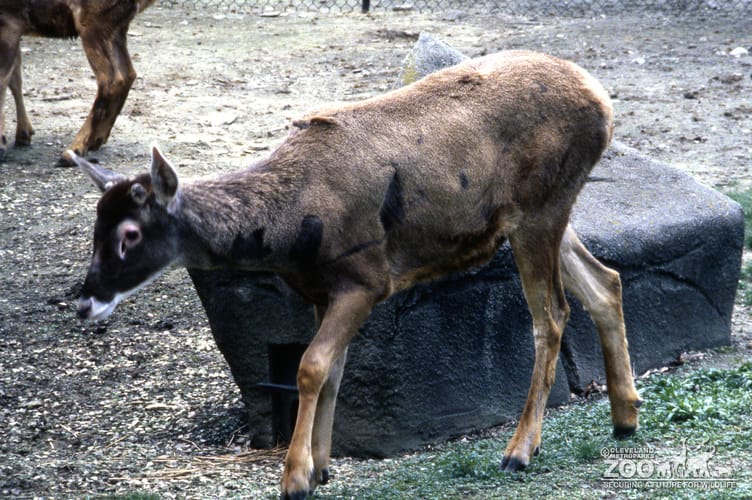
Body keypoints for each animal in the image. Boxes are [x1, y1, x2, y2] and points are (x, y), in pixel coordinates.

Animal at [0, 0, 155, 166]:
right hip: (115, 26)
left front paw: (3, 143)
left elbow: (4, 80)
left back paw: (73, 150)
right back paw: (96, 139)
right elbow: (15, 78)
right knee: (128, 73)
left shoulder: (9, 22)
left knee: (110, 79)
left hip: (94, 21)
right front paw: (24, 134)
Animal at [72, 50, 643, 498]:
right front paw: (321, 467)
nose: (84, 301)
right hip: (543, 212)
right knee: (605, 283)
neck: (288, 232)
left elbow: (309, 365)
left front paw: (295, 478)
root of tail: (604, 102)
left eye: (130, 234)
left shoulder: (366, 277)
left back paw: (520, 450)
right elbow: (333, 370)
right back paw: (625, 416)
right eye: (95, 226)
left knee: (552, 316)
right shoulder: (321, 292)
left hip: (539, 207)